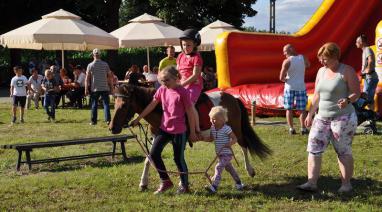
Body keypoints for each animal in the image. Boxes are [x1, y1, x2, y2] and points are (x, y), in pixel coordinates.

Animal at [109, 83, 272, 188]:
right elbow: (149, 159)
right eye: (114, 103)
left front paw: (182, 182)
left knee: (243, 146)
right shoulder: (158, 137)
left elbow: (179, 160)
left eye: (124, 105)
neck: (163, 110)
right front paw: (143, 183)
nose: (112, 127)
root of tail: (233, 98)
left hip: (236, 129)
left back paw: (249, 170)